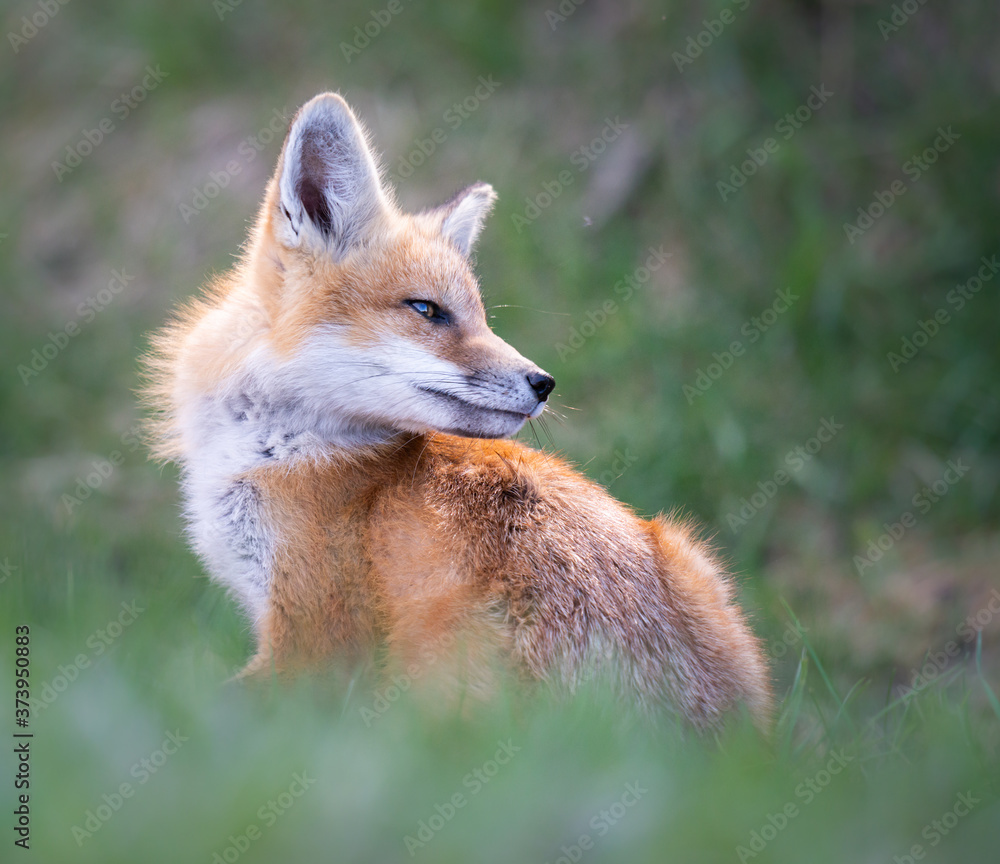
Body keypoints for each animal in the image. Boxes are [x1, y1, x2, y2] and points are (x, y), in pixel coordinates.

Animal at [144, 92, 773, 731]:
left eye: (481, 318)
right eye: (427, 309)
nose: (544, 383)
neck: (285, 449)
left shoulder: (311, 637)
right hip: (697, 565)